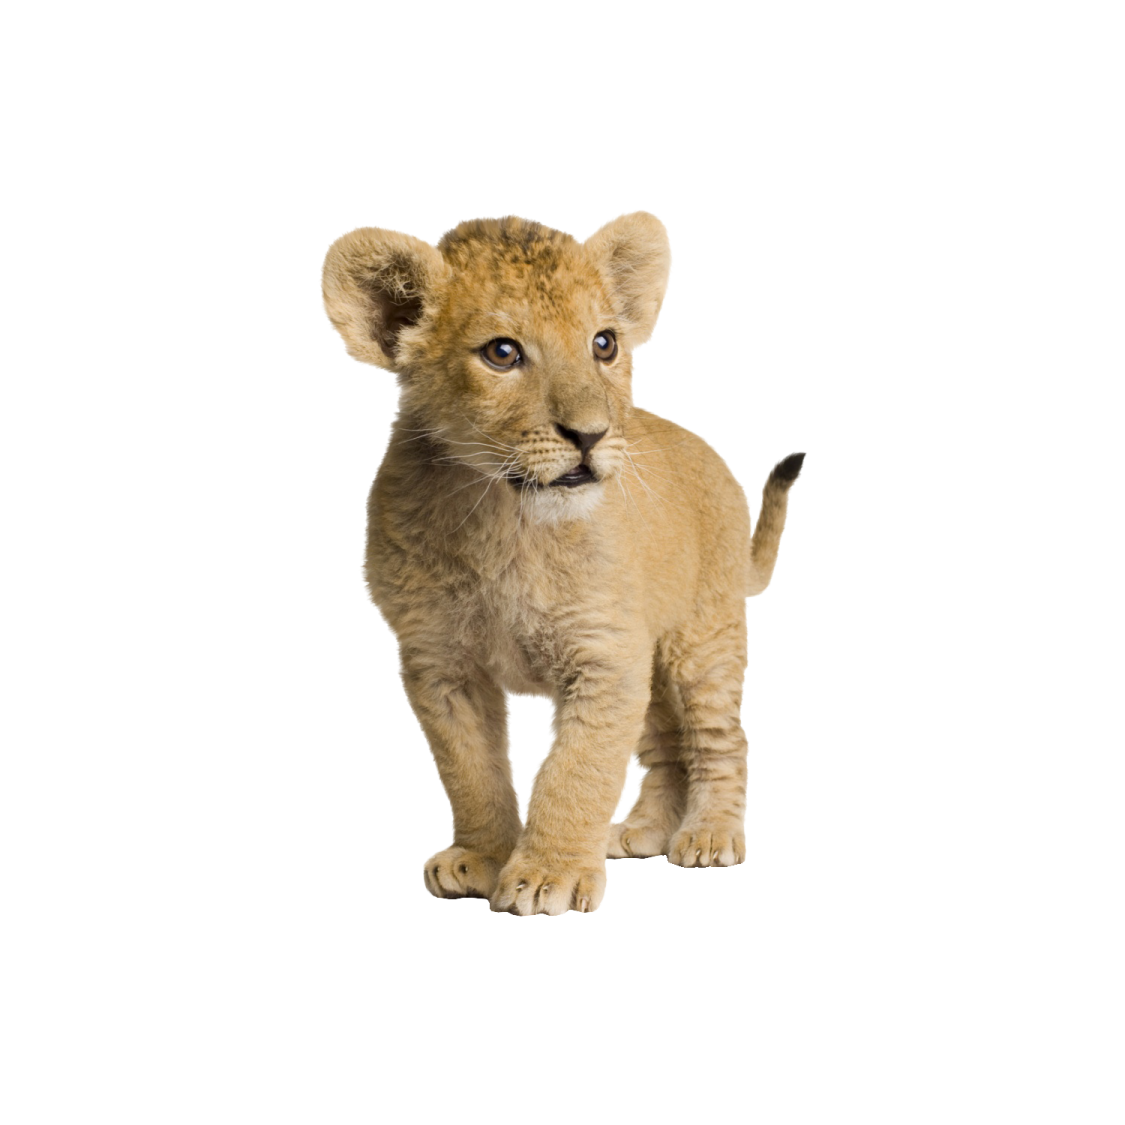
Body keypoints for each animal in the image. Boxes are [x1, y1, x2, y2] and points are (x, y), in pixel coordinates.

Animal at [320, 211, 805, 915]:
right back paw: (640, 832)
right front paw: (482, 859)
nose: (591, 435)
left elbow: (578, 771)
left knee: (720, 738)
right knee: (664, 743)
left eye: (604, 343)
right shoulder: (438, 662)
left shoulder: (603, 656)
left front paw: (549, 875)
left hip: (701, 638)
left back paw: (710, 835)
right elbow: (471, 769)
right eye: (502, 353)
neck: (503, 518)